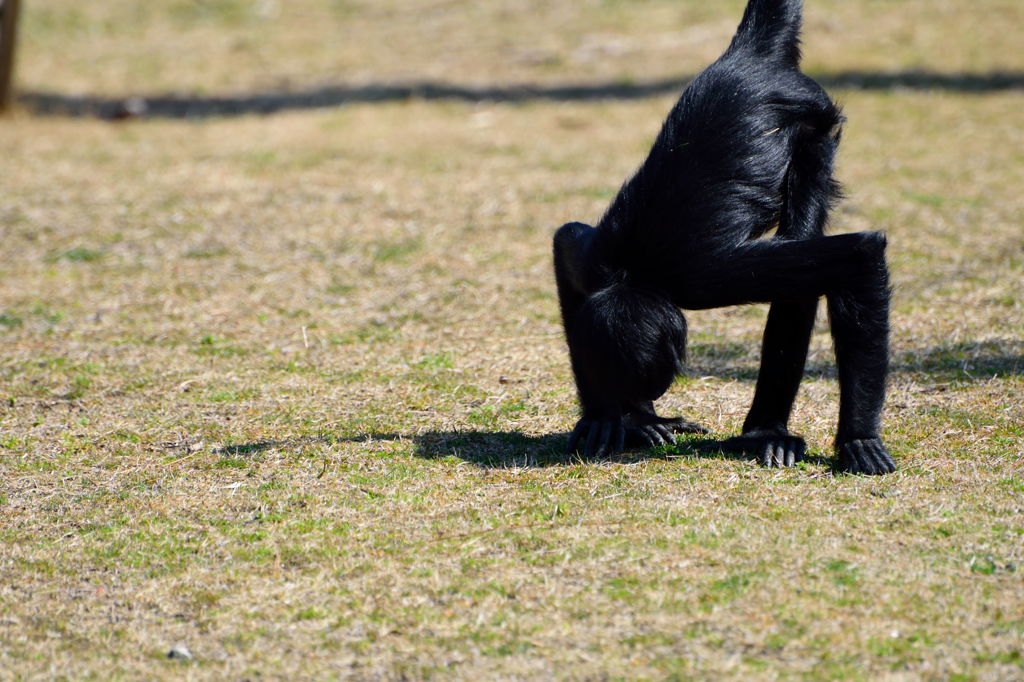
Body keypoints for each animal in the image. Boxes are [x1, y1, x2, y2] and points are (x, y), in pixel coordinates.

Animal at [552, 0, 897, 473]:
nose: (650, 395)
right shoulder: (593, 262)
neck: (634, 272)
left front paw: (859, 439)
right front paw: (614, 417)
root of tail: (749, 56)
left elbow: (859, 254)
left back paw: (764, 434)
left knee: (803, 245)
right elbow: (565, 239)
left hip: (818, 127)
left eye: (653, 377)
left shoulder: (706, 277)